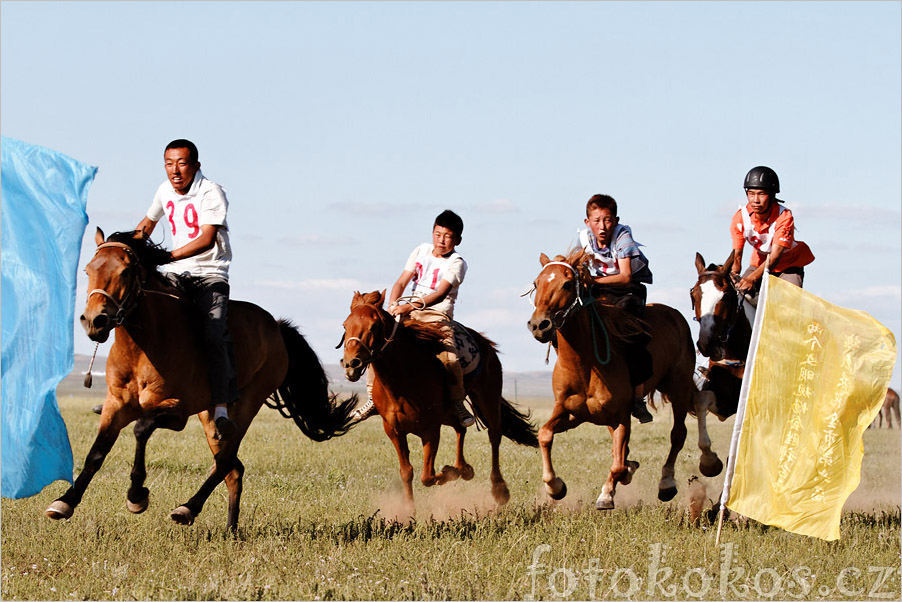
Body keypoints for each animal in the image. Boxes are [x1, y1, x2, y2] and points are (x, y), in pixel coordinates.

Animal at [45, 227, 356, 528]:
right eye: (88, 270)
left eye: (125, 271)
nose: (94, 320)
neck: (142, 347)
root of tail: (277, 327)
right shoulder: (115, 405)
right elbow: (97, 452)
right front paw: (65, 501)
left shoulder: (177, 410)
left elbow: (141, 429)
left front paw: (136, 495)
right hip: (211, 416)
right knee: (232, 468)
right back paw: (230, 529)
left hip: (246, 406)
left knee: (226, 462)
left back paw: (187, 508)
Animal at [340, 290, 536, 510]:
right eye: (345, 325)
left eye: (374, 326)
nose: (351, 363)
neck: (403, 378)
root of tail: (485, 343)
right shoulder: (394, 430)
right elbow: (407, 472)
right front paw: (410, 510)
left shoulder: (431, 429)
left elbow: (427, 476)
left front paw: (450, 472)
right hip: (449, 413)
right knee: (461, 428)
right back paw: (465, 468)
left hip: (488, 398)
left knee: (494, 436)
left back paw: (499, 489)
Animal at [528, 248, 724, 506]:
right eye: (536, 283)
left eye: (567, 284)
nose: (539, 325)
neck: (584, 365)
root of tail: (674, 315)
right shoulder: (571, 413)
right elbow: (544, 435)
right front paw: (555, 487)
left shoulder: (620, 417)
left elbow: (618, 464)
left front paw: (606, 493)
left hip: (678, 387)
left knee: (679, 432)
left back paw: (675, 478)